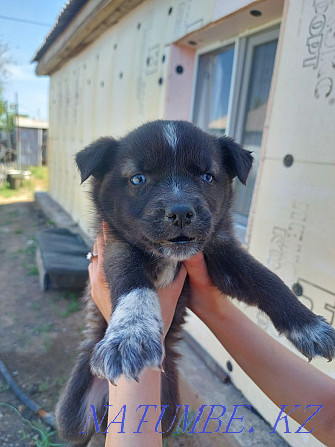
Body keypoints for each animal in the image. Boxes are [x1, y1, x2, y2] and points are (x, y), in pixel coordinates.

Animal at [55, 121, 335, 446]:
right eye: (138, 179)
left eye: (206, 177)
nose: (180, 212)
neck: (171, 258)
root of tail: (107, 406)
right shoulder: (117, 247)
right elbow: (132, 283)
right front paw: (131, 337)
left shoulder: (222, 251)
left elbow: (267, 279)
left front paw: (308, 326)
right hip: (72, 416)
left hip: (167, 411)